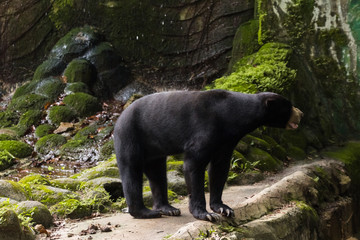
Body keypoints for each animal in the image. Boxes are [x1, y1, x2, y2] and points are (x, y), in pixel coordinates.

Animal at [114, 89, 302, 221]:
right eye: (289, 106)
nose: (301, 113)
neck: (231, 116)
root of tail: (119, 117)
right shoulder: (205, 129)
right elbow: (194, 164)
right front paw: (206, 214)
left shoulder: (226, 140)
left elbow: (220, 167)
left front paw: (224, 208)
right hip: (131, 135)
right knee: (131, 172)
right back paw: (146, 212)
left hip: (155, 148)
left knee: (157, 174)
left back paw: (168, 208)